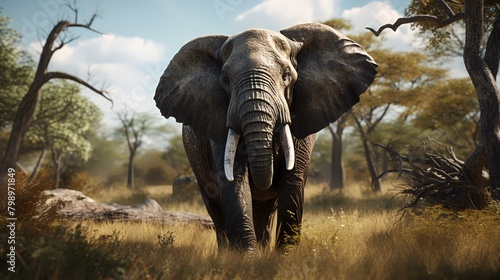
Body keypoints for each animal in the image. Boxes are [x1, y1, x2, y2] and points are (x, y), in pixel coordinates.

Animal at [154, 23, 376, 252]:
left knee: (266, 210)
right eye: (225, 80)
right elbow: (234, 180)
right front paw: (247, 256)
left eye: (286, 75)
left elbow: (293, 180)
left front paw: (284, 256)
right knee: (216, 209)